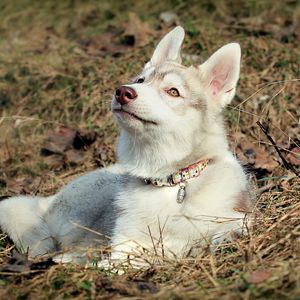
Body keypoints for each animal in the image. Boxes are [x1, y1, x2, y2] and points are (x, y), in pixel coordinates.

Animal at [0, 27, 253, 264]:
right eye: (140, 81)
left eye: (173, 92)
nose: (123, 92)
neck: (171, 181)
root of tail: (48, 200)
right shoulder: (126, 243)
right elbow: (124, 260)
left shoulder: (237, 218)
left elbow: (222, 233)